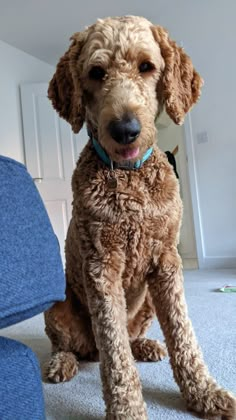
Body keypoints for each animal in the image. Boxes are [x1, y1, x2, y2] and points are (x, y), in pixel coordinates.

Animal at [43, 14, 234, 418]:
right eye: (96, 72)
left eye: (147, 67)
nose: (125, 130)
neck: (130, 180)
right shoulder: (102, 268)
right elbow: (115, 355)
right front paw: (127, 409)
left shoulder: (166, 262)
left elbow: (182, 333)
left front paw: (204, 391)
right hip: (59, 306)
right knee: (74, 346)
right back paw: (62, 362)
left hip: (145, 301)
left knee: (129, 338)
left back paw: (146, 346)